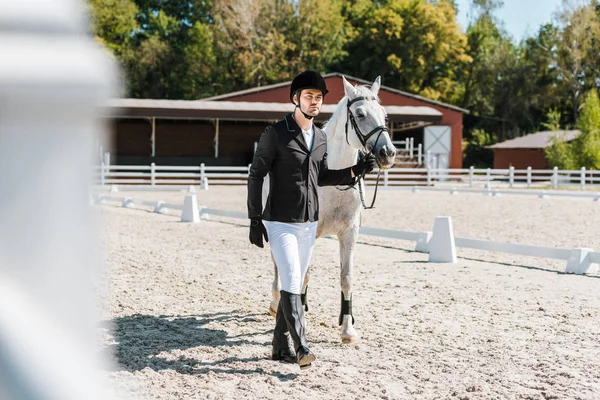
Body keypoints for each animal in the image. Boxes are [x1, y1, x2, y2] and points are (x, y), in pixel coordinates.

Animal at [268, 75, 398, 344]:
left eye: (384, 114)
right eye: (359, 114)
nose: (387, 154)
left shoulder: (349, 233)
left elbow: (346, 278)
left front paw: (347, 330)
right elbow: (302, 274)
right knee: (279, 263)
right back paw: (276, 304)